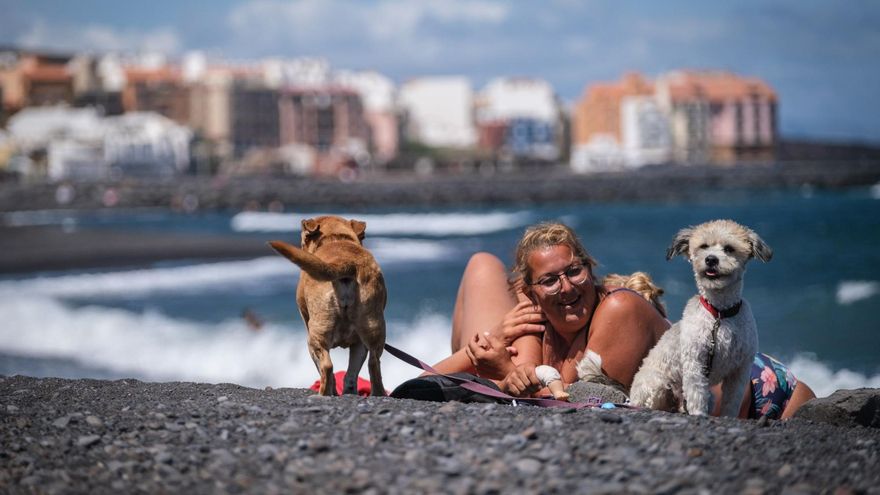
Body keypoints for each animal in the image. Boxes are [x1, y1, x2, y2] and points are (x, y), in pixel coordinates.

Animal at [268, 215, 384, 398]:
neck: (336, 238)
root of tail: (345, 262)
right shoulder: (358, 344)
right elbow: (351, 375)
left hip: (314, 337)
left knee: (327, 366)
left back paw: (322, 394)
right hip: (372, 329)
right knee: (373, 364)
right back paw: (377, 393)